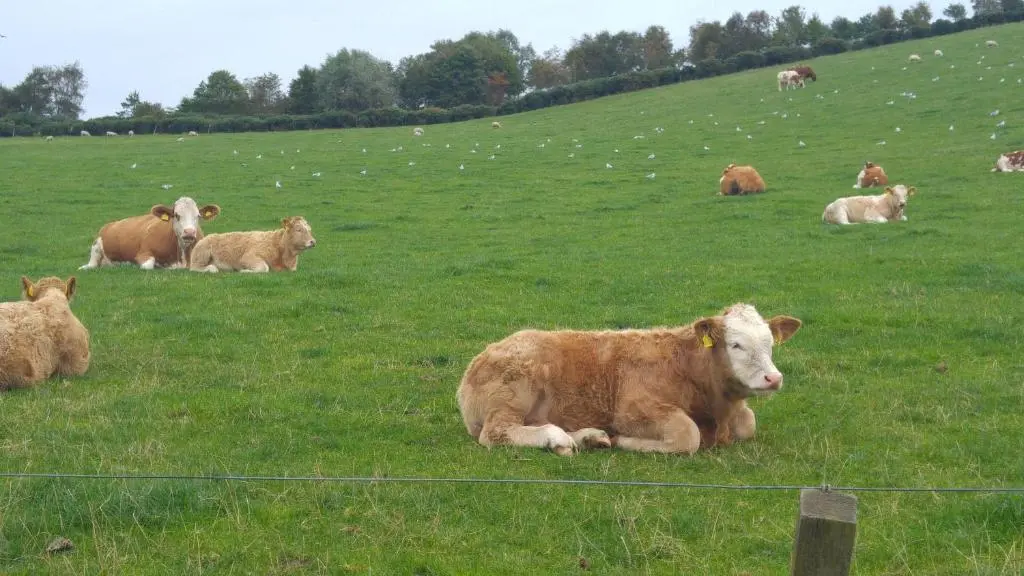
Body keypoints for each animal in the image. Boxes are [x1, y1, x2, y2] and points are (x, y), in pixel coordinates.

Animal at [79, 197, 221, 271]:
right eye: (176, 215)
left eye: (198, 216)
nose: (189, 232)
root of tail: (109, 224)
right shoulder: (143, 254)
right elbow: (148, 265)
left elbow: (213, 268)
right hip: (96, 245)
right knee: (92, 264)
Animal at [456, 303, 803, 455]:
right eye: (736, 344)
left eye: (770, 343)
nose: (773, 378)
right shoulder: (632, 411)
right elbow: (687, 435)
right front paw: (624, 441)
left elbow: (749, 424)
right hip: (513, 395)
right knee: (496, 433)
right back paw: (557, 438)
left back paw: (588, 437)